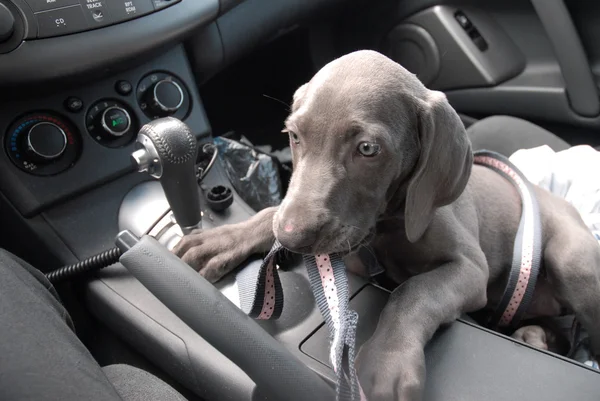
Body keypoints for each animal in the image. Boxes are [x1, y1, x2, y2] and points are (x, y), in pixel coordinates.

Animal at [172, 50, 600, 400]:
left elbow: (413, 291)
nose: (292, 236)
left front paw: (385, 363)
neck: (385, 229)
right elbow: (268, 214)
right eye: (293, 135)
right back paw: (536, 335)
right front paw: (224, 239)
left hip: (571, 259)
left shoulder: (470, 268)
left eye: (367, 149)